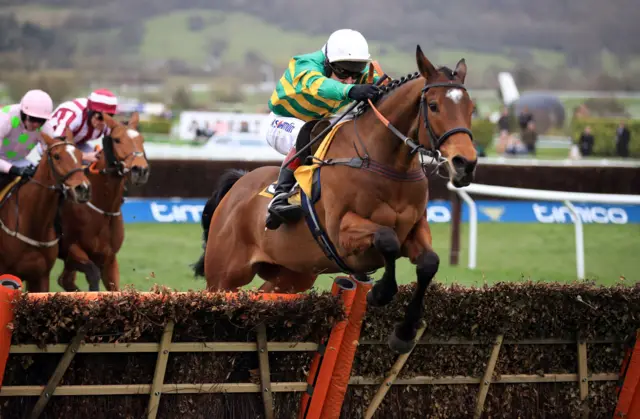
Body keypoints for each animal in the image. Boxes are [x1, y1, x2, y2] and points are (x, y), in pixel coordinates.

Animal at [56, 113, 149, 294]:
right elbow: (92, 277)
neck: (102, 208)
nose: (140, 170)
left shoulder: (109, 259)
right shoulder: (72, 250)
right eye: (117, 140)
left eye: (142, 139)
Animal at [192, 46, 478, 354]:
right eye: (434, 105)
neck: (382, 162)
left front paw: (404, 332)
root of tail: (237, 186)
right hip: (223, 277)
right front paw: (380, 292)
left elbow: (429, 263)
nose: (465, 163)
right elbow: (386, 239)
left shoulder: (414, 229)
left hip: (292, 275)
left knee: (264, 295)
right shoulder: (343, 233)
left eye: (470, 108)